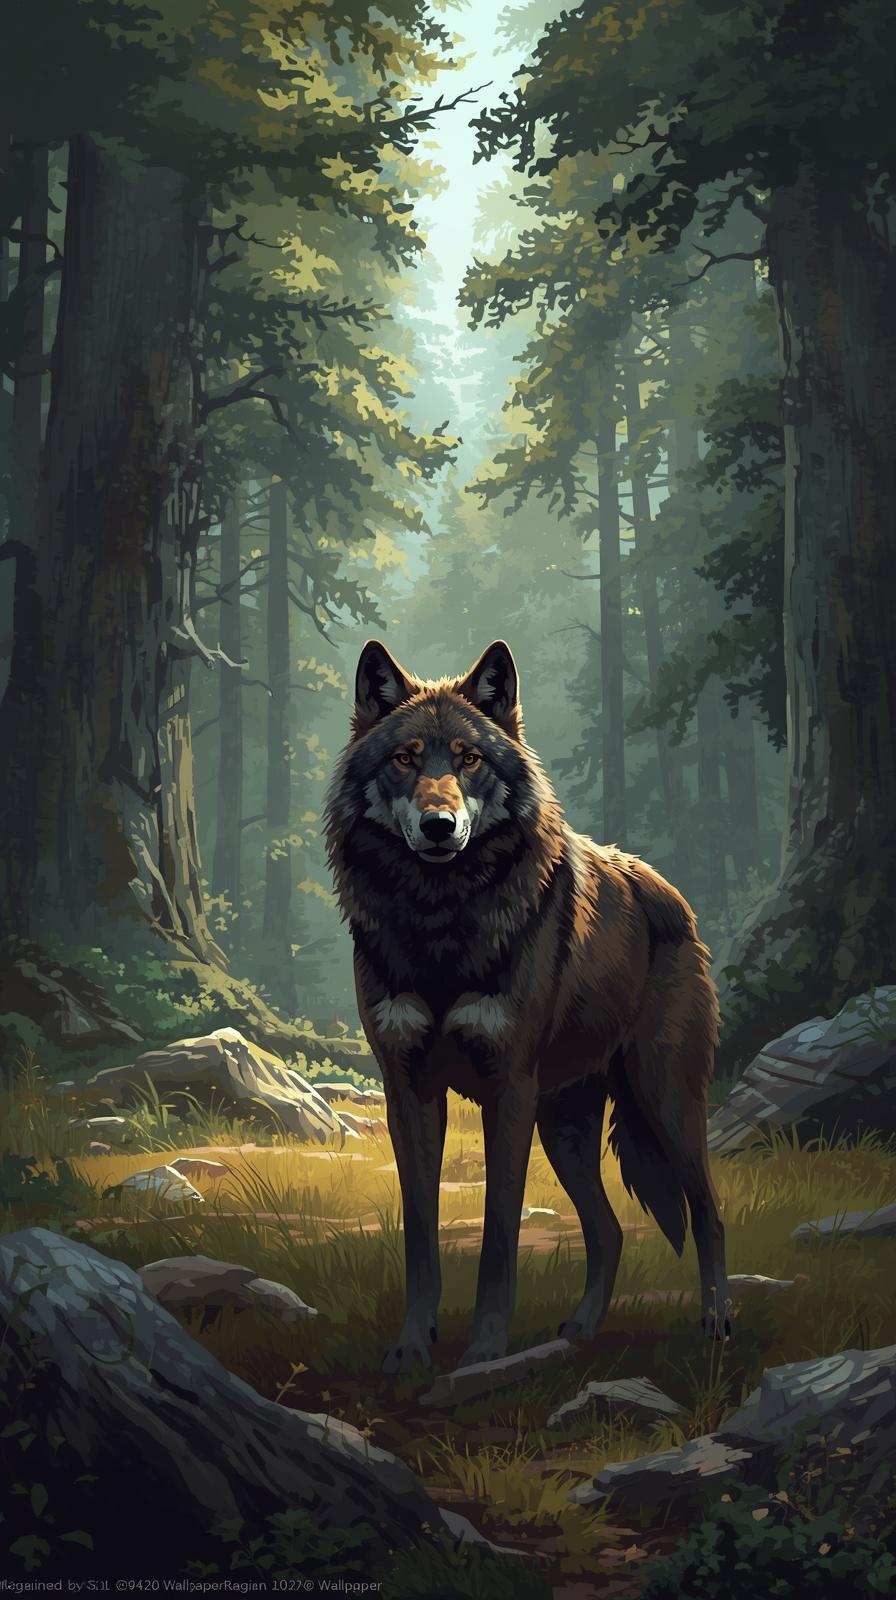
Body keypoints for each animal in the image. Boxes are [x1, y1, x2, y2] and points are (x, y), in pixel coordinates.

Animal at [325, 639, 729, 1372]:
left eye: (468, 759)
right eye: (406, 758)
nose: (439, 826)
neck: (440, 924)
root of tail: (671, 895)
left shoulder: (508, 1091)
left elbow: (497, 1243)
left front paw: (485, 1350)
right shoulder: (408, 1093)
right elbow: (421, 1241)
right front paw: (411, 1346)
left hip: (664, 1104)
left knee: (708, 1213)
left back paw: (716, 1320)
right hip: (564, 1129)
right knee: (609, 1232)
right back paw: (581, 1330)